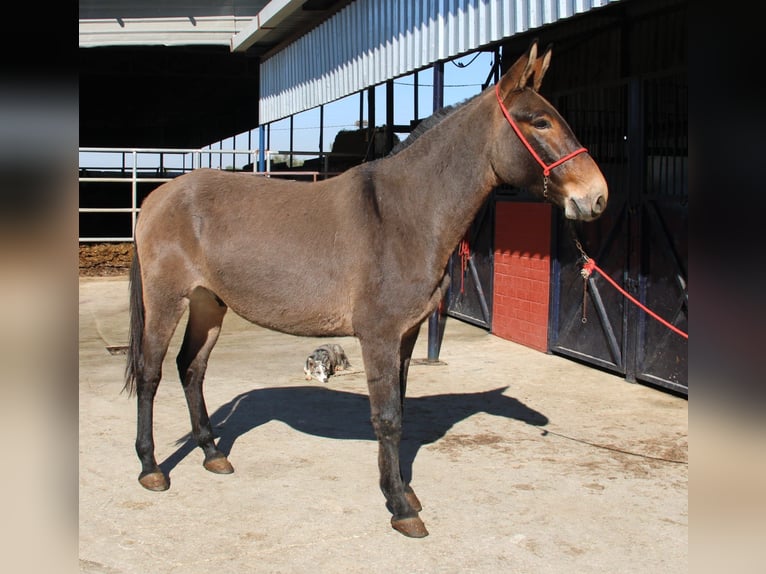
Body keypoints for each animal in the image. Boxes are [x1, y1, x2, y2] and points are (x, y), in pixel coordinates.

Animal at [123, 40, 608, 538]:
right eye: (540, 122)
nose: (597, 197)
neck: (403, 215)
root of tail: (157, 197)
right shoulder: (379, 335)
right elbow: (387, 417)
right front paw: (400, 506)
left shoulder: (407, 335)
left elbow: (401, 410)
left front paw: (405, 491)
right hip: (166, 301)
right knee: (150, 373)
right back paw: (151, 468)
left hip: (209, 304)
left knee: (191, 368)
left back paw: (212, 453)